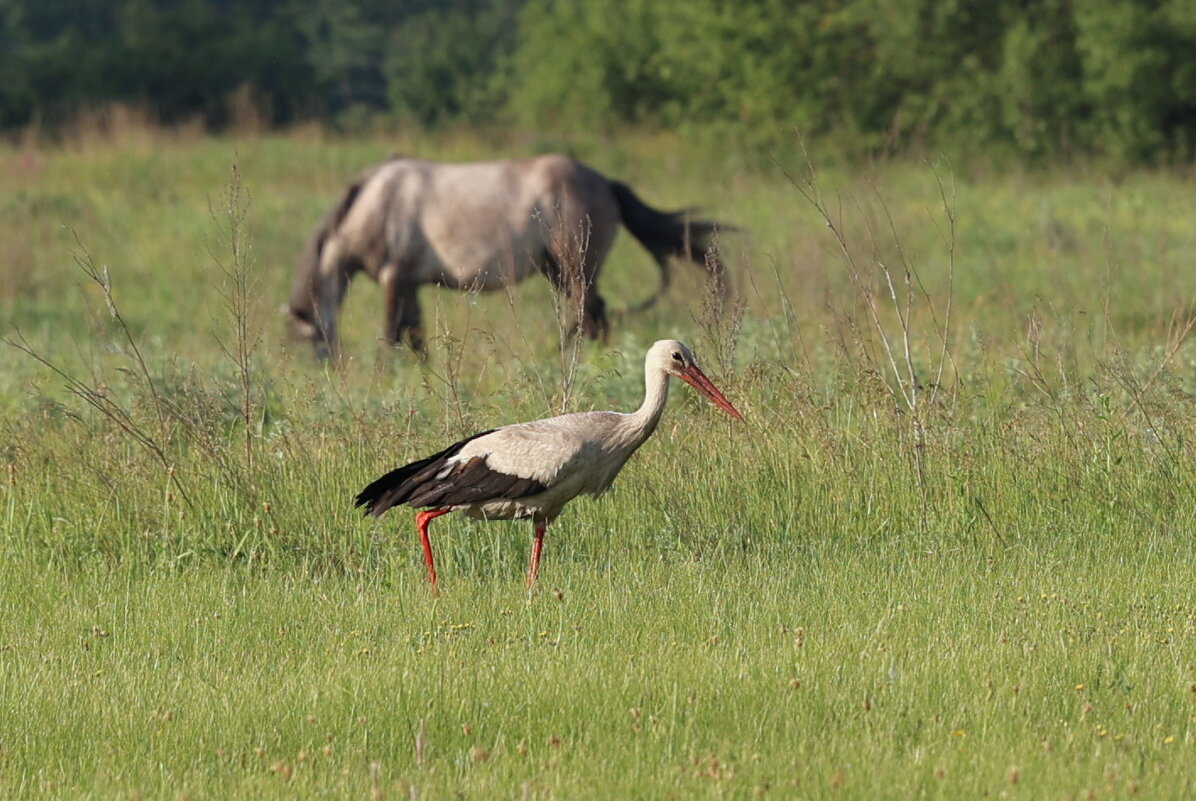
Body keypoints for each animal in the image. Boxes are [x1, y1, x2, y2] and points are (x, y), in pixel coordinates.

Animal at [287, 154, 727, 361]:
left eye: (313, 340)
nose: (331, 370)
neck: (377, 203)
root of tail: (605, 183)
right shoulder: (409, 284)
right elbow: (416, 338)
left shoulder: (394, 281)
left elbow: (393, 336)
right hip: (557, 271)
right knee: (592, 317)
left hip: (574, 269)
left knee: (589, 316)